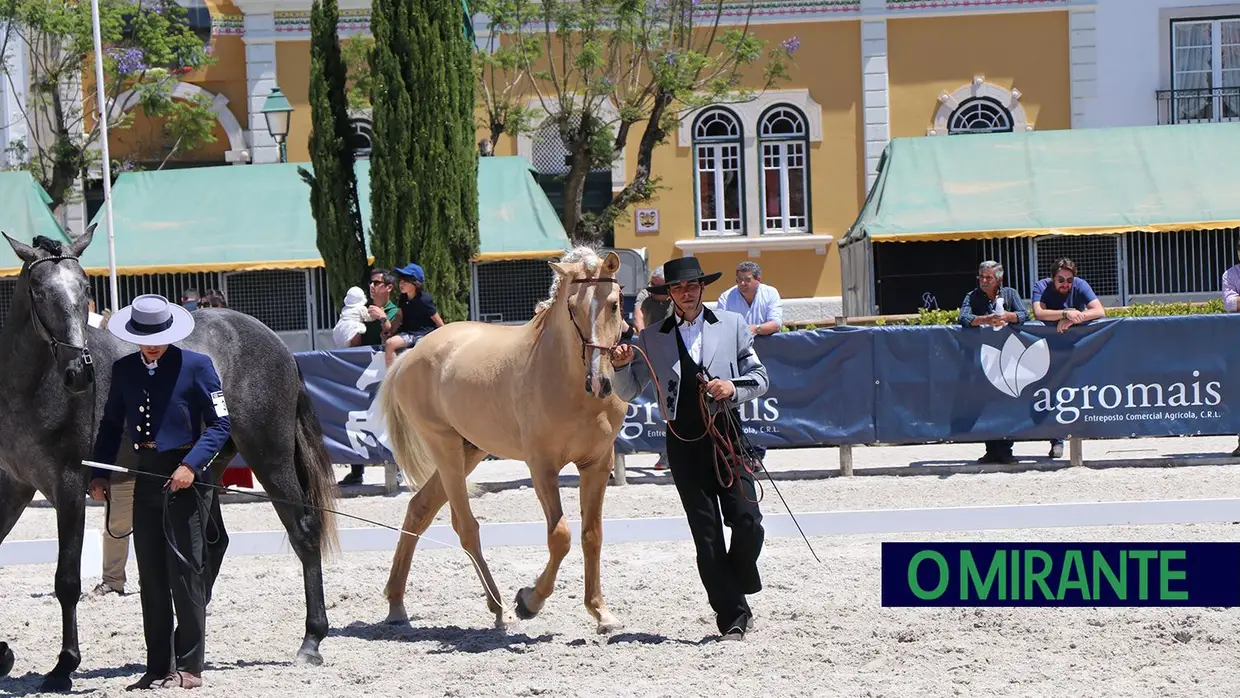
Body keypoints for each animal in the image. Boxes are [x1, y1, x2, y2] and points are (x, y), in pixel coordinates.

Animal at [0, 230, 339, 694]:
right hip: (205, 470)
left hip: (268, 457)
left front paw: (63, 667)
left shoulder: (67, 487)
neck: (29, 388)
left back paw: (311, 641)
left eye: (85, 289)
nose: (79, 374)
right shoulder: (13, 486)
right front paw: (3, 654)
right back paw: (181, 645)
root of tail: (273, 342)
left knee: (304, 531)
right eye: (38, 290)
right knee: (213, 546)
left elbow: (66, 580)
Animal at [376, 245, 629, 634]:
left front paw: (600, 611)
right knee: (465, 526)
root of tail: (410, 356)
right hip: (446, 449)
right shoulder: (542, 468)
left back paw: (396, 604)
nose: (599, 381)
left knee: (419, 509)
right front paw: (529, 601)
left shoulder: (596, 465)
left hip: (471, 450)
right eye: (572, 308)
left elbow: (592, 535)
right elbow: (560, 537)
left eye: (614, 303)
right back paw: (499, 608)